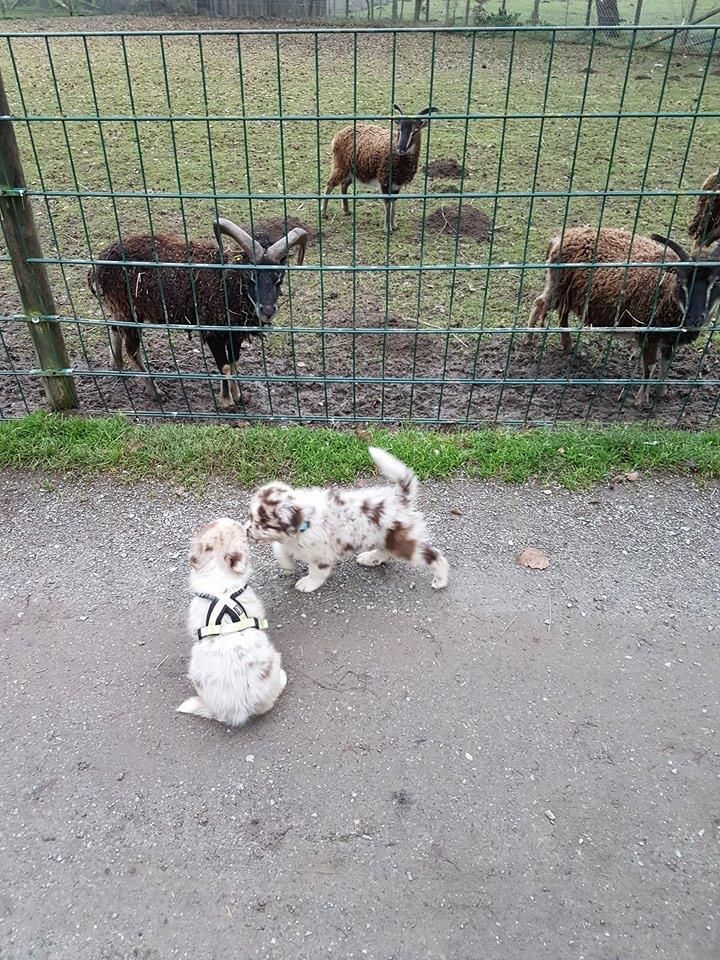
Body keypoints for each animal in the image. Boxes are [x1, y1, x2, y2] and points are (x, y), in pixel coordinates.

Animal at [88, 218, 307, 408]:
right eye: (249, 276)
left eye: (279, 277)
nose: (267, 311)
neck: (226, 283)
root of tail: (99, 262)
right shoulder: (213, 332)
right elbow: (224, 365)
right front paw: (226, 402)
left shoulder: (235, 333)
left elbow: (234, 362)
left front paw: (239, 396)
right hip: (129, 310)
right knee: (132, 349)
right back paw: (155, 392)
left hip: (120, 308)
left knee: (115, 329)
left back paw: (117, 366)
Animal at [321, 104, 439, 233]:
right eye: (399, 129)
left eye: (415, 131)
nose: (401, 148)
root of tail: (339, 134)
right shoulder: (384, 180)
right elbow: (387, 204)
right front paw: (387, 228)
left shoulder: (397, 184)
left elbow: (393, 203)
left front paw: (394, 225)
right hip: (340, 165)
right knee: (330, 184)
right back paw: (324, 213)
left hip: (353, 171)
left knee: (344, 185)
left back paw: (347, 211)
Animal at [526, 226, 720, 406]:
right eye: (681, 282)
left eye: (716, 283)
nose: (695, 318)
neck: (665, 291)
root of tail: (561, 238)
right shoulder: (647, 332)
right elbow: (649, 366)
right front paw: (641, 400)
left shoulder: (670, 338)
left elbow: (666, 364)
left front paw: (662, 392)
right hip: (558, 287)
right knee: (539, 303)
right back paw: (529, 339)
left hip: (569, 292)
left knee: (562, 314)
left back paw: (567, 345)